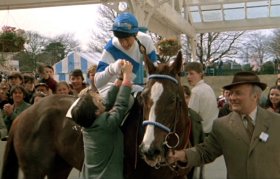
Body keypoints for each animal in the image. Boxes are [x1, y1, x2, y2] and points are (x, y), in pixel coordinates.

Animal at [1, 51, 191, 178]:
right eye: (144, 97)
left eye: (173, 99)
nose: (149, 150)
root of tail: (23, 115)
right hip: (35, 170)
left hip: (60, 166)